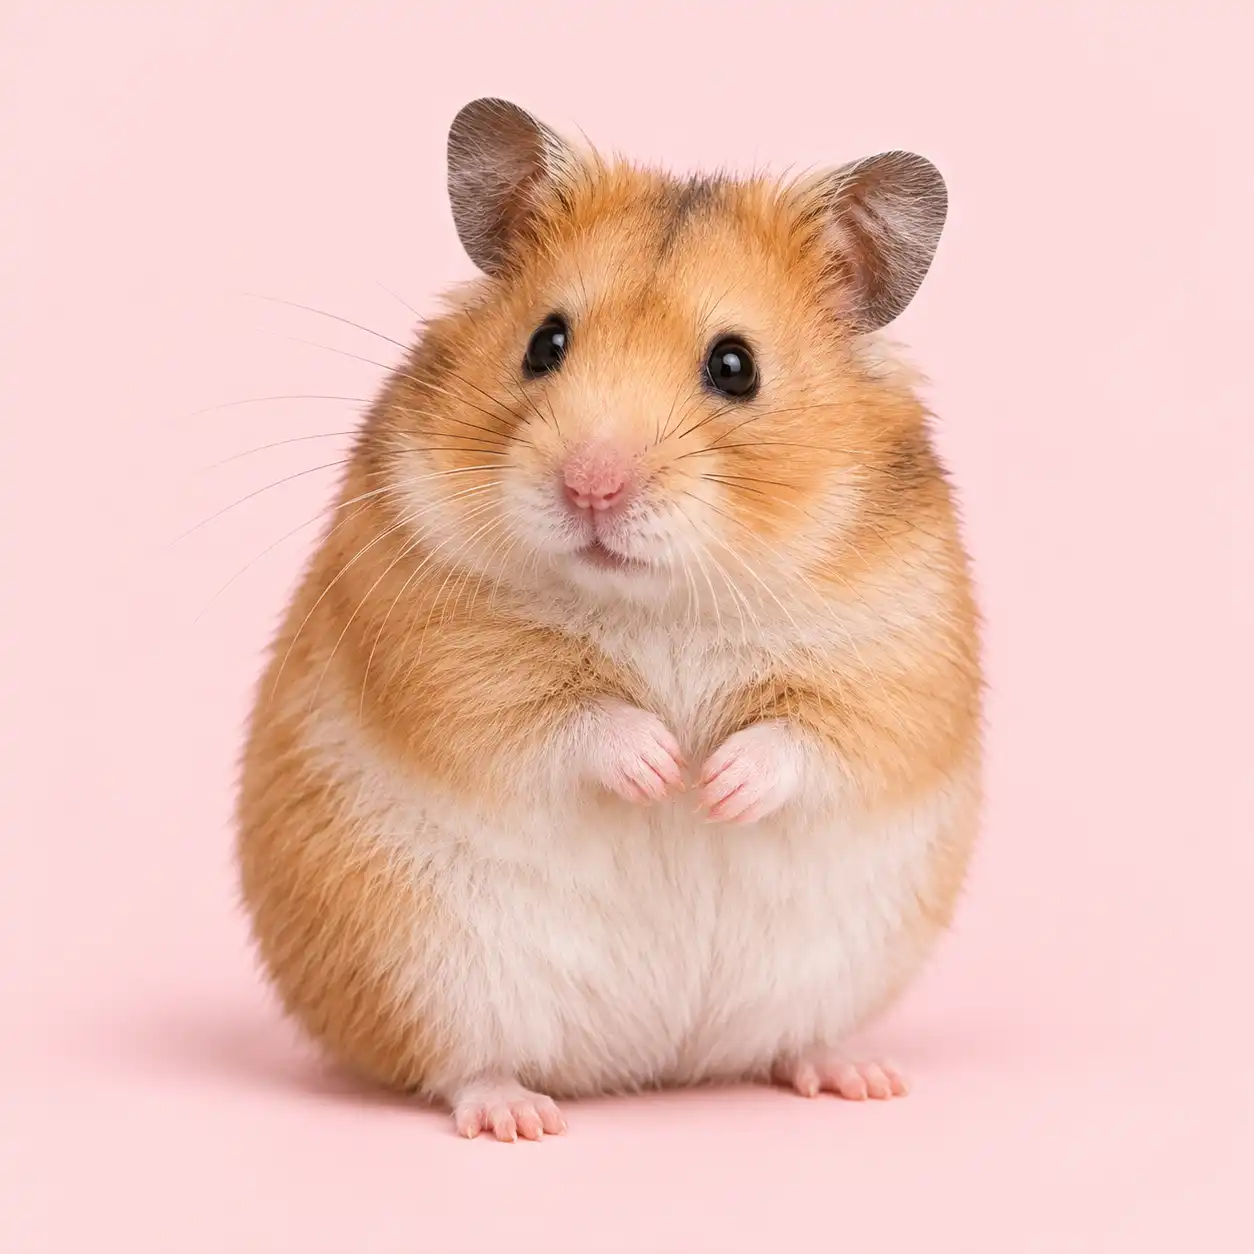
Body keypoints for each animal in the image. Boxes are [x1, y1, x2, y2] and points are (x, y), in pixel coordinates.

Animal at [235, 97, 982, 1141]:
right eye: (545, 342)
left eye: (735, 367)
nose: (591, 486)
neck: (659, 598)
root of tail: (654, 1065)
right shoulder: (442, 640)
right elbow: (572, 716)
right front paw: (664, 771)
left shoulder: (897, 659)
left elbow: (803, 737)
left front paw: (712, 788)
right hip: (422, 969)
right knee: (462, 1066)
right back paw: (518, 1118)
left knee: (794, 1040)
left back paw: (859, 1077)